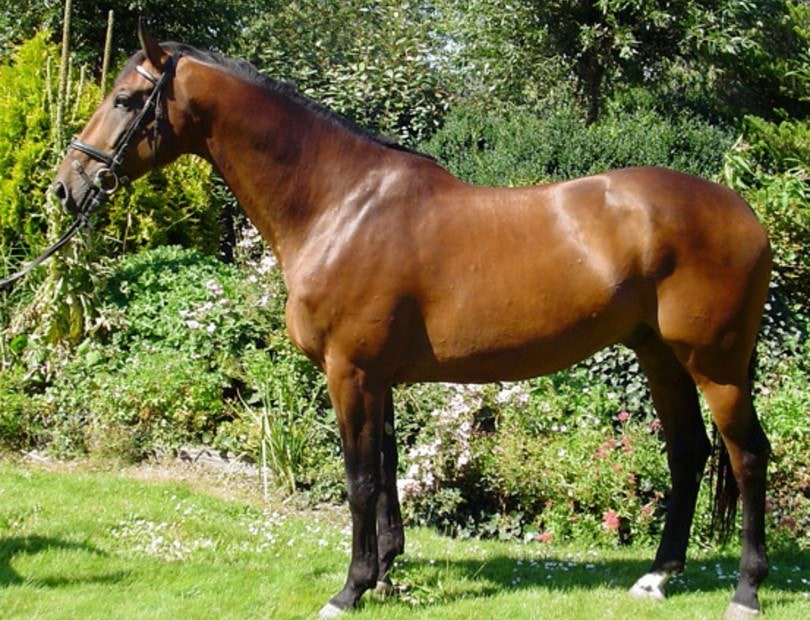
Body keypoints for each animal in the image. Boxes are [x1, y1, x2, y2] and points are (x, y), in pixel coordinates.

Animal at [52, 23, 772, 619]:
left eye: (125, 100)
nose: (66, 187)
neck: (341, 204)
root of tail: (745, 214)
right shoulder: (380, 376)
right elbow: (388, 470)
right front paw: (387, 573)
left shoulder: (350, 371)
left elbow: (360, 479)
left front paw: (349, 589)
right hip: (659, 354)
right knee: (688, 452)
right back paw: (657, 577)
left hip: (716, 365)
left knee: (746, 456)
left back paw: (745, 591)